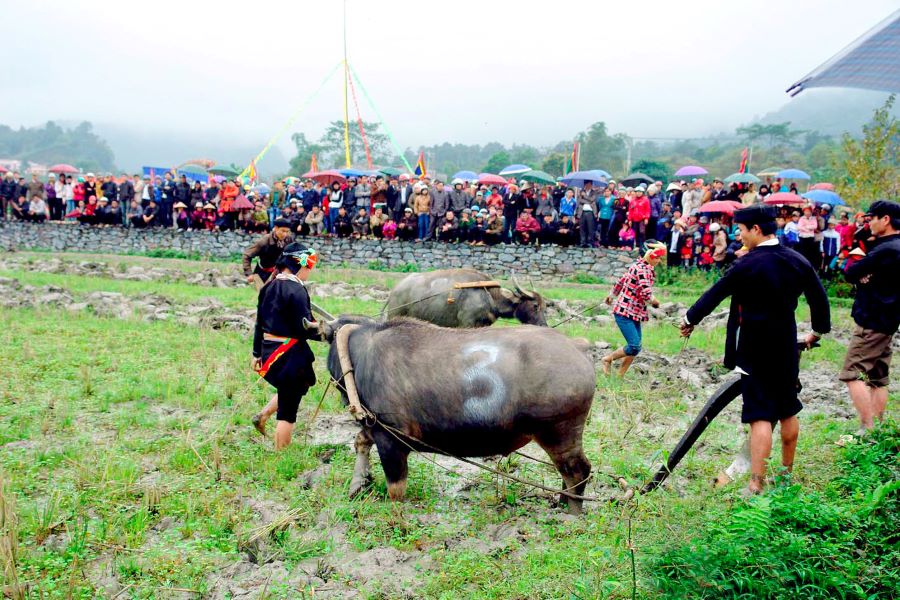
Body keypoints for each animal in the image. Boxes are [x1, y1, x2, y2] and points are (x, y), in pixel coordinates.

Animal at [312, 316, 596, 512]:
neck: (360, 358)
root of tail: (577, 348)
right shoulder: (373, 427)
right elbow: (360, 441)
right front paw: (357, 485)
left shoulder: (390, 437)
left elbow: (396, 488)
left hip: (559, 432)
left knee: (577, 471)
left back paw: (570, 512)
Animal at [382, 270, 544, 328]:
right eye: (535, 305)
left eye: (545, 307)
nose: (544, 325)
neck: (489, 296)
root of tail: (394, 290)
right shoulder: (467, 323)